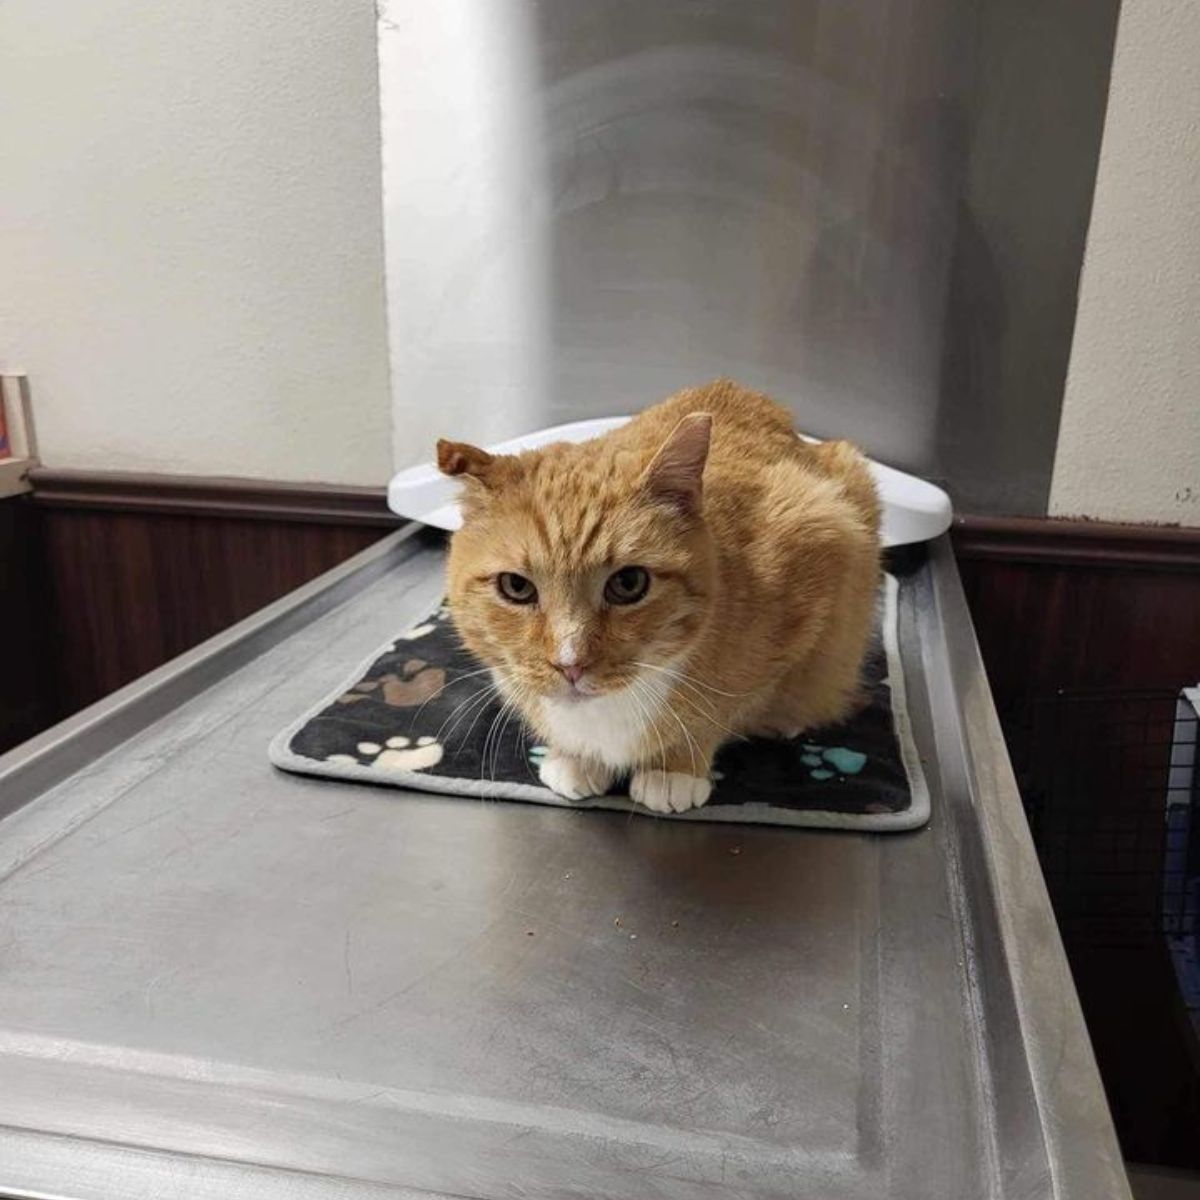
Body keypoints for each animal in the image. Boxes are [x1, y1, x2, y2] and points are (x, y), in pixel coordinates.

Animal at [436, 381, 878, 816]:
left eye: (629, 583)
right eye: (516, 587)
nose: (570, 664)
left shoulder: (824, 536)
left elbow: (722, 711)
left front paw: (674, 769)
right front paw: (574, 757)